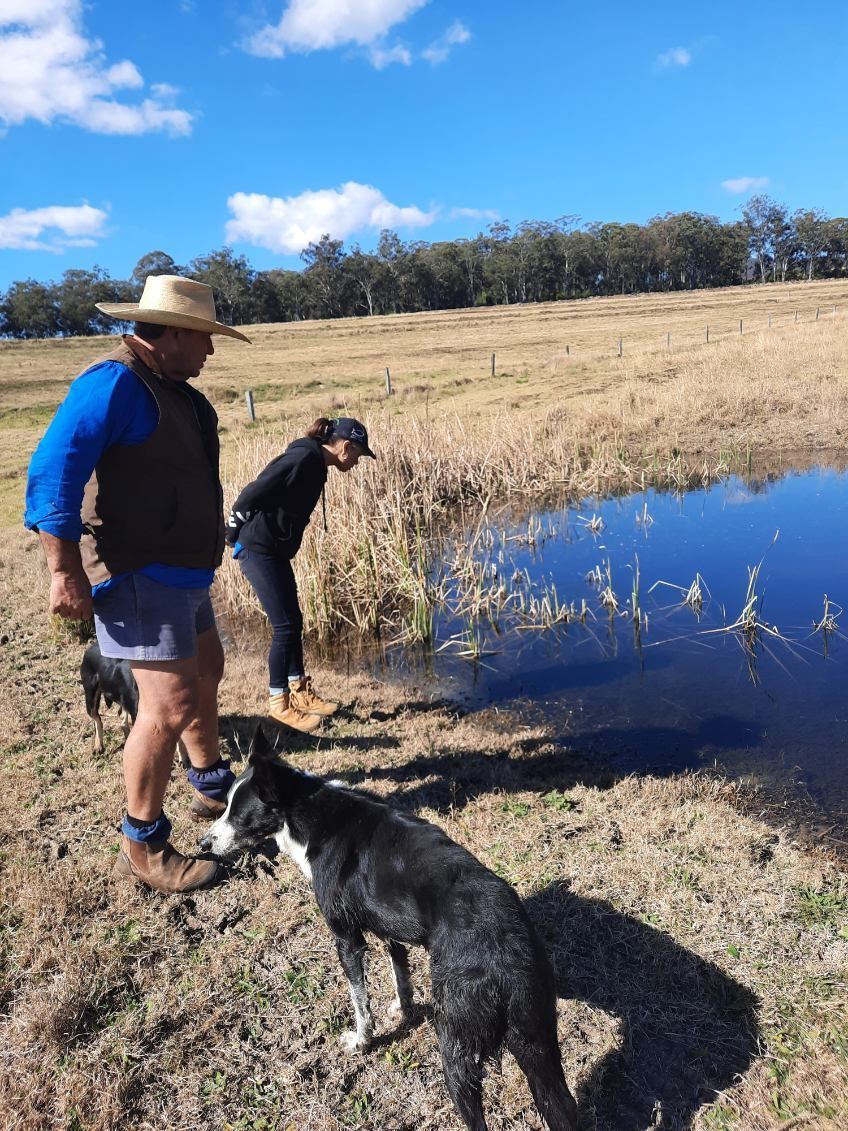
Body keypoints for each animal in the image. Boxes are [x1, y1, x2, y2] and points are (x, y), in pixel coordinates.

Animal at [202, 728, 583, 1126]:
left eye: (238, 815)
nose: (202, 845)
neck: (309, 809)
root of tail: (505, 958)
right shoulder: (389, 926)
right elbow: (400, 973)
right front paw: (403, 1008)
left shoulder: (346, 937)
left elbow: (359, 999)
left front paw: (362, 1041)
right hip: (538, 1041)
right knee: (561, 1103)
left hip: (457, 1045)